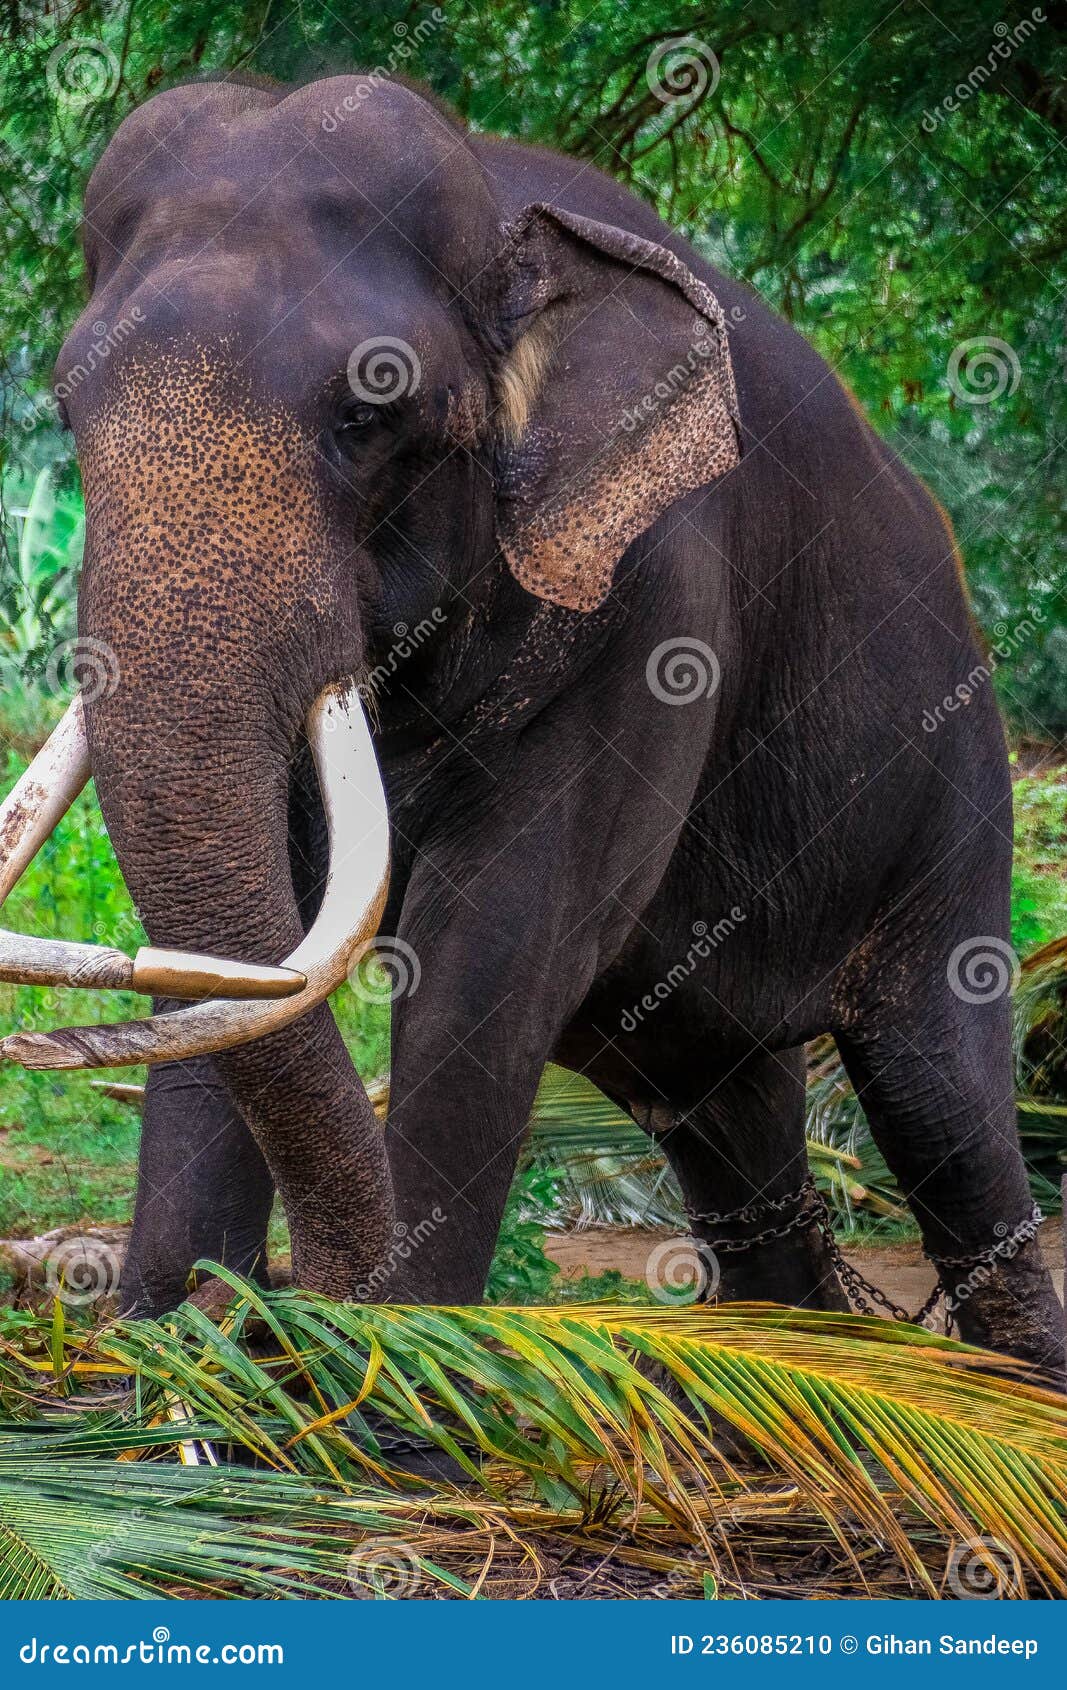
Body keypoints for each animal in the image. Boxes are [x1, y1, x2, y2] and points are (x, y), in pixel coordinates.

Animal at [4, 72, 1061, 1379]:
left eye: (370, 407)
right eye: (66, 407)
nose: (257, 1309)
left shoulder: (651, 607)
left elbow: (494, 943)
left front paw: (391, 1384)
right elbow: (250, 955)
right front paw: (170, 1379)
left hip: (954, 790)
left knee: (943, 1098)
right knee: (729, 1110)